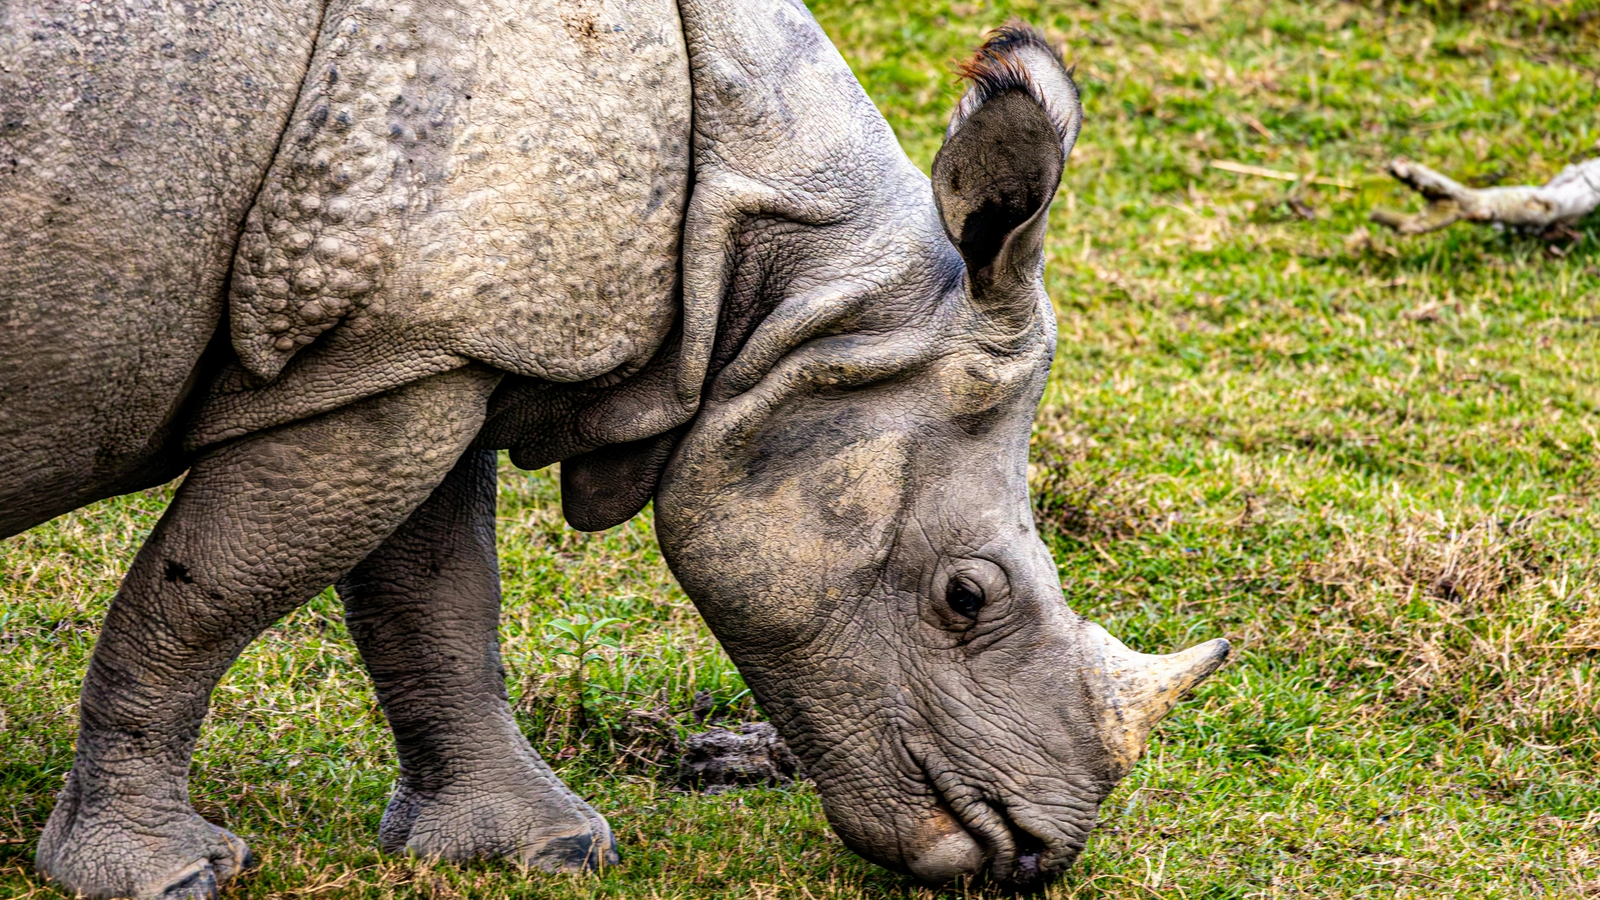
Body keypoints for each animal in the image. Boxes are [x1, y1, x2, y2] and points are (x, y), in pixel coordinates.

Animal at [0, 0, 1229, 896]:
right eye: (966, 597)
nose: (1034, 857)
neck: (784, 285)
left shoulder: (432, 342)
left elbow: (437, 597)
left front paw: (538, 851)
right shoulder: (404, 345)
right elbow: (201, 600)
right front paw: (162, 879)